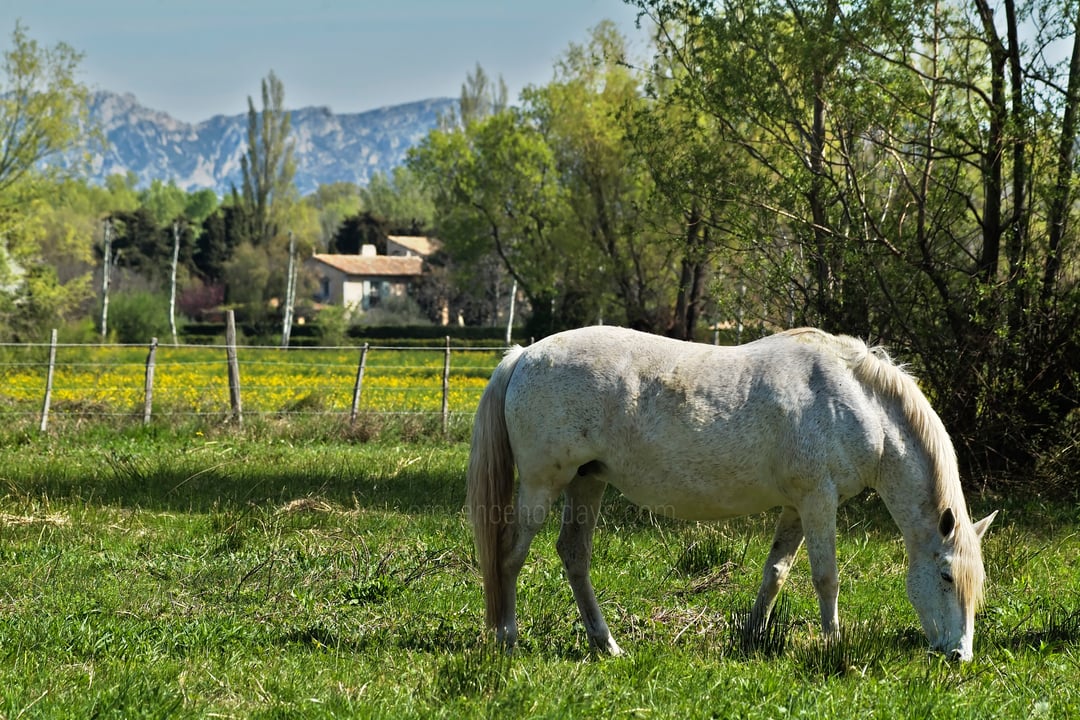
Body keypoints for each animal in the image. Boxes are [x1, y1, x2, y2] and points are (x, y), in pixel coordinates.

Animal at [468, 328, 997, 664]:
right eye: (946, 576)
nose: (960, 656)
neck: (855, 400)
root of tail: (524, 355)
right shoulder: (818, 500)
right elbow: (826, 578)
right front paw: (834, 645)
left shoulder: (795, 506)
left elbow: (776, 572)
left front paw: (752, 635)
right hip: (543, 485)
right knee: (510, 556)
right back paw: (508, 638)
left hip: (587, 482)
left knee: (574, 556)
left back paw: (607, 645)